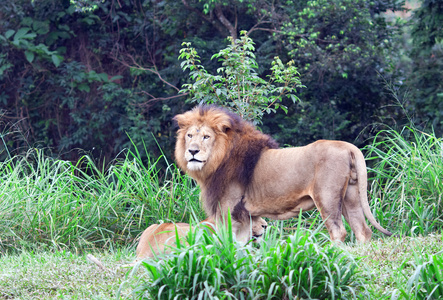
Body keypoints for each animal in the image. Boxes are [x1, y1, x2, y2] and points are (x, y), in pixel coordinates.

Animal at [175, 105, 394, 244]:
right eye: (189, 136)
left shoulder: (228, 210)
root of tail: (348, 146)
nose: (192, 151)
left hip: (327, 197)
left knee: (339, 232)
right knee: (363, 231)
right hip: (350, 195)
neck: (217, 159)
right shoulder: (245, 215)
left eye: (206, 137)